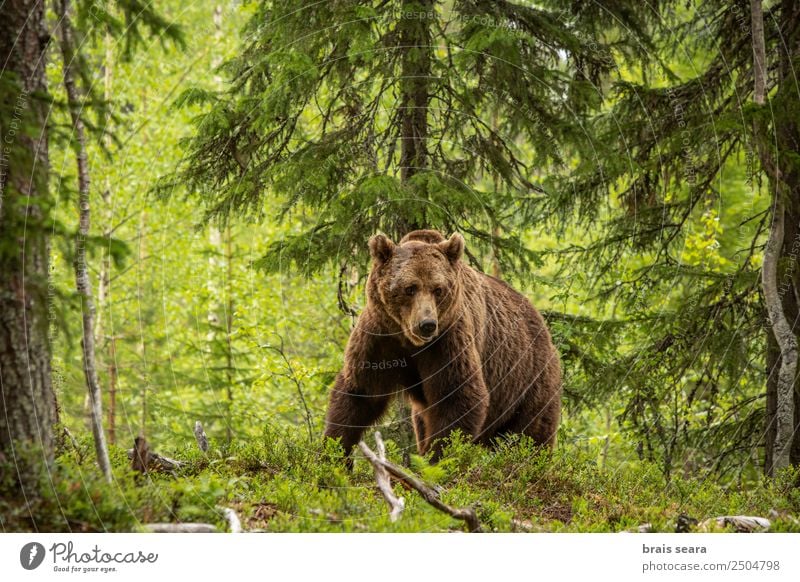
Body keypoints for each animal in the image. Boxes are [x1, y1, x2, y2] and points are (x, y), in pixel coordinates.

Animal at [322, 230, 560, 464]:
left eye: (438, 289)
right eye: (410, 288)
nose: (427, 324)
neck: (409, 340)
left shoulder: (447, 341)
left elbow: (457, 396)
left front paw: (437, 460)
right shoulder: (380, 338)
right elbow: (360, 393)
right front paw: (333, 455)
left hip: (527, 382)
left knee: (530, 435)